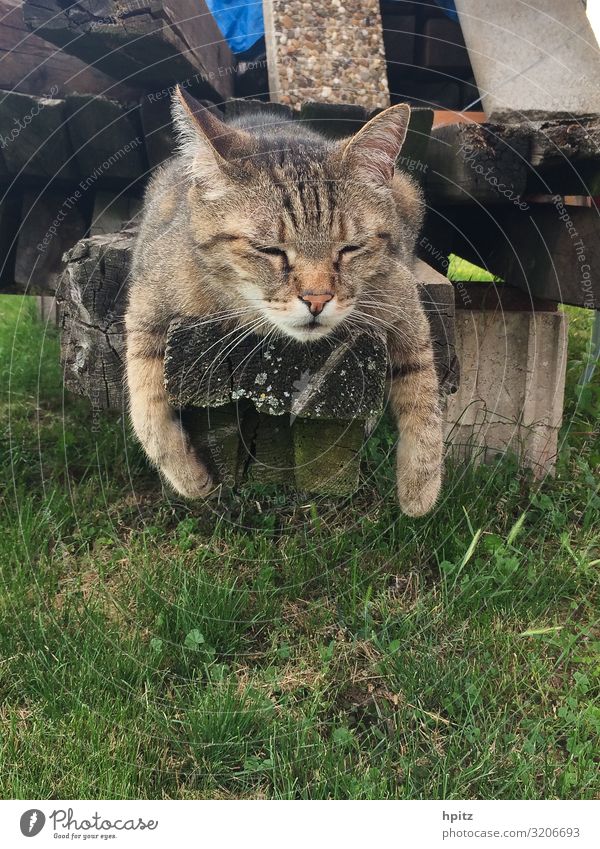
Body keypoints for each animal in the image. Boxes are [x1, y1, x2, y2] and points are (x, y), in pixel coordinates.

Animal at [124, 86, 442, 512]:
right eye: (270, 250)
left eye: (349, 249)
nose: (318, 299)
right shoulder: (145, 300)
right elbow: (145, 398)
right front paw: (189, 477)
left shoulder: (403, 304)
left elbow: (424, 393)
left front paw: (420, 487)